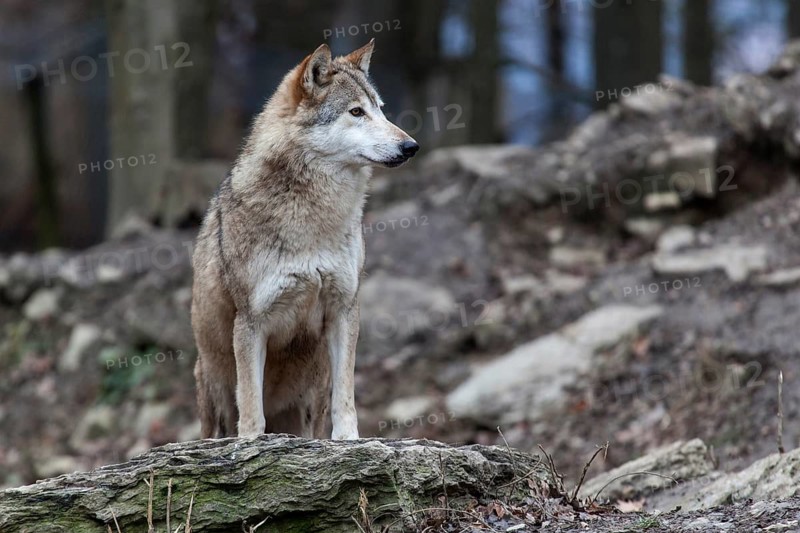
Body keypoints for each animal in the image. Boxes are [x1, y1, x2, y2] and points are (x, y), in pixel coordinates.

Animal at [191, 39, 419, 440]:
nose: (411, 146)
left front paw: (348, 441)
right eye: (356, 112)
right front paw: (251, 444)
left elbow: (347, 395)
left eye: (379, 109)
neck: (313, 215)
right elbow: (251, 407)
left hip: (312, 390)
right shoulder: (251, 322)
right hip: (213, 389)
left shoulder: (344, 309)